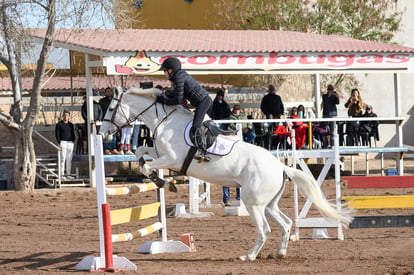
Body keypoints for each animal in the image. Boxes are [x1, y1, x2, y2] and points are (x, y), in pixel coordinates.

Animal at [98, 87, 352, 262]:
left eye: (110, 108)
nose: (101, 132)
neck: (165, 121)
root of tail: (281, 167)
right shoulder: (159, 153)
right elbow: (141, 153)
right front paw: (157, 177)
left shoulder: (172, 159)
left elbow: (148, 167)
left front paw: (164, 182)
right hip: (268, 203)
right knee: (285, 223)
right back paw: (280, 253)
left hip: (253, 203)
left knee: (265, 230)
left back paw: (248, 256)